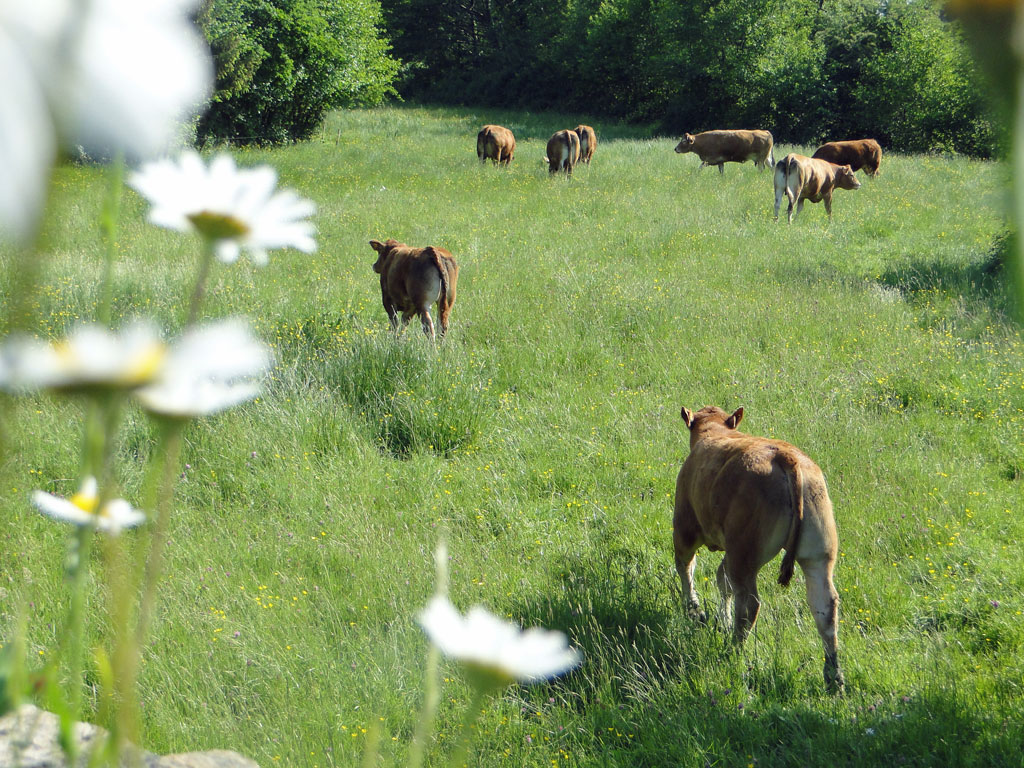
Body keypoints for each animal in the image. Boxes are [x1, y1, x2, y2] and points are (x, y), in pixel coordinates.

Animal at [671, 405, 839, 696]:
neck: (714, 432)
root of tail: (786, 457)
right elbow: (721, 580)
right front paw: (722, 620)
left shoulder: (685, 527)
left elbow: (687, 568)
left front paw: (695, 611)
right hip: (818, 555)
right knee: (824, 607)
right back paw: (833, 677)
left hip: (744, 556)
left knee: (749, 603)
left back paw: (732, 653)